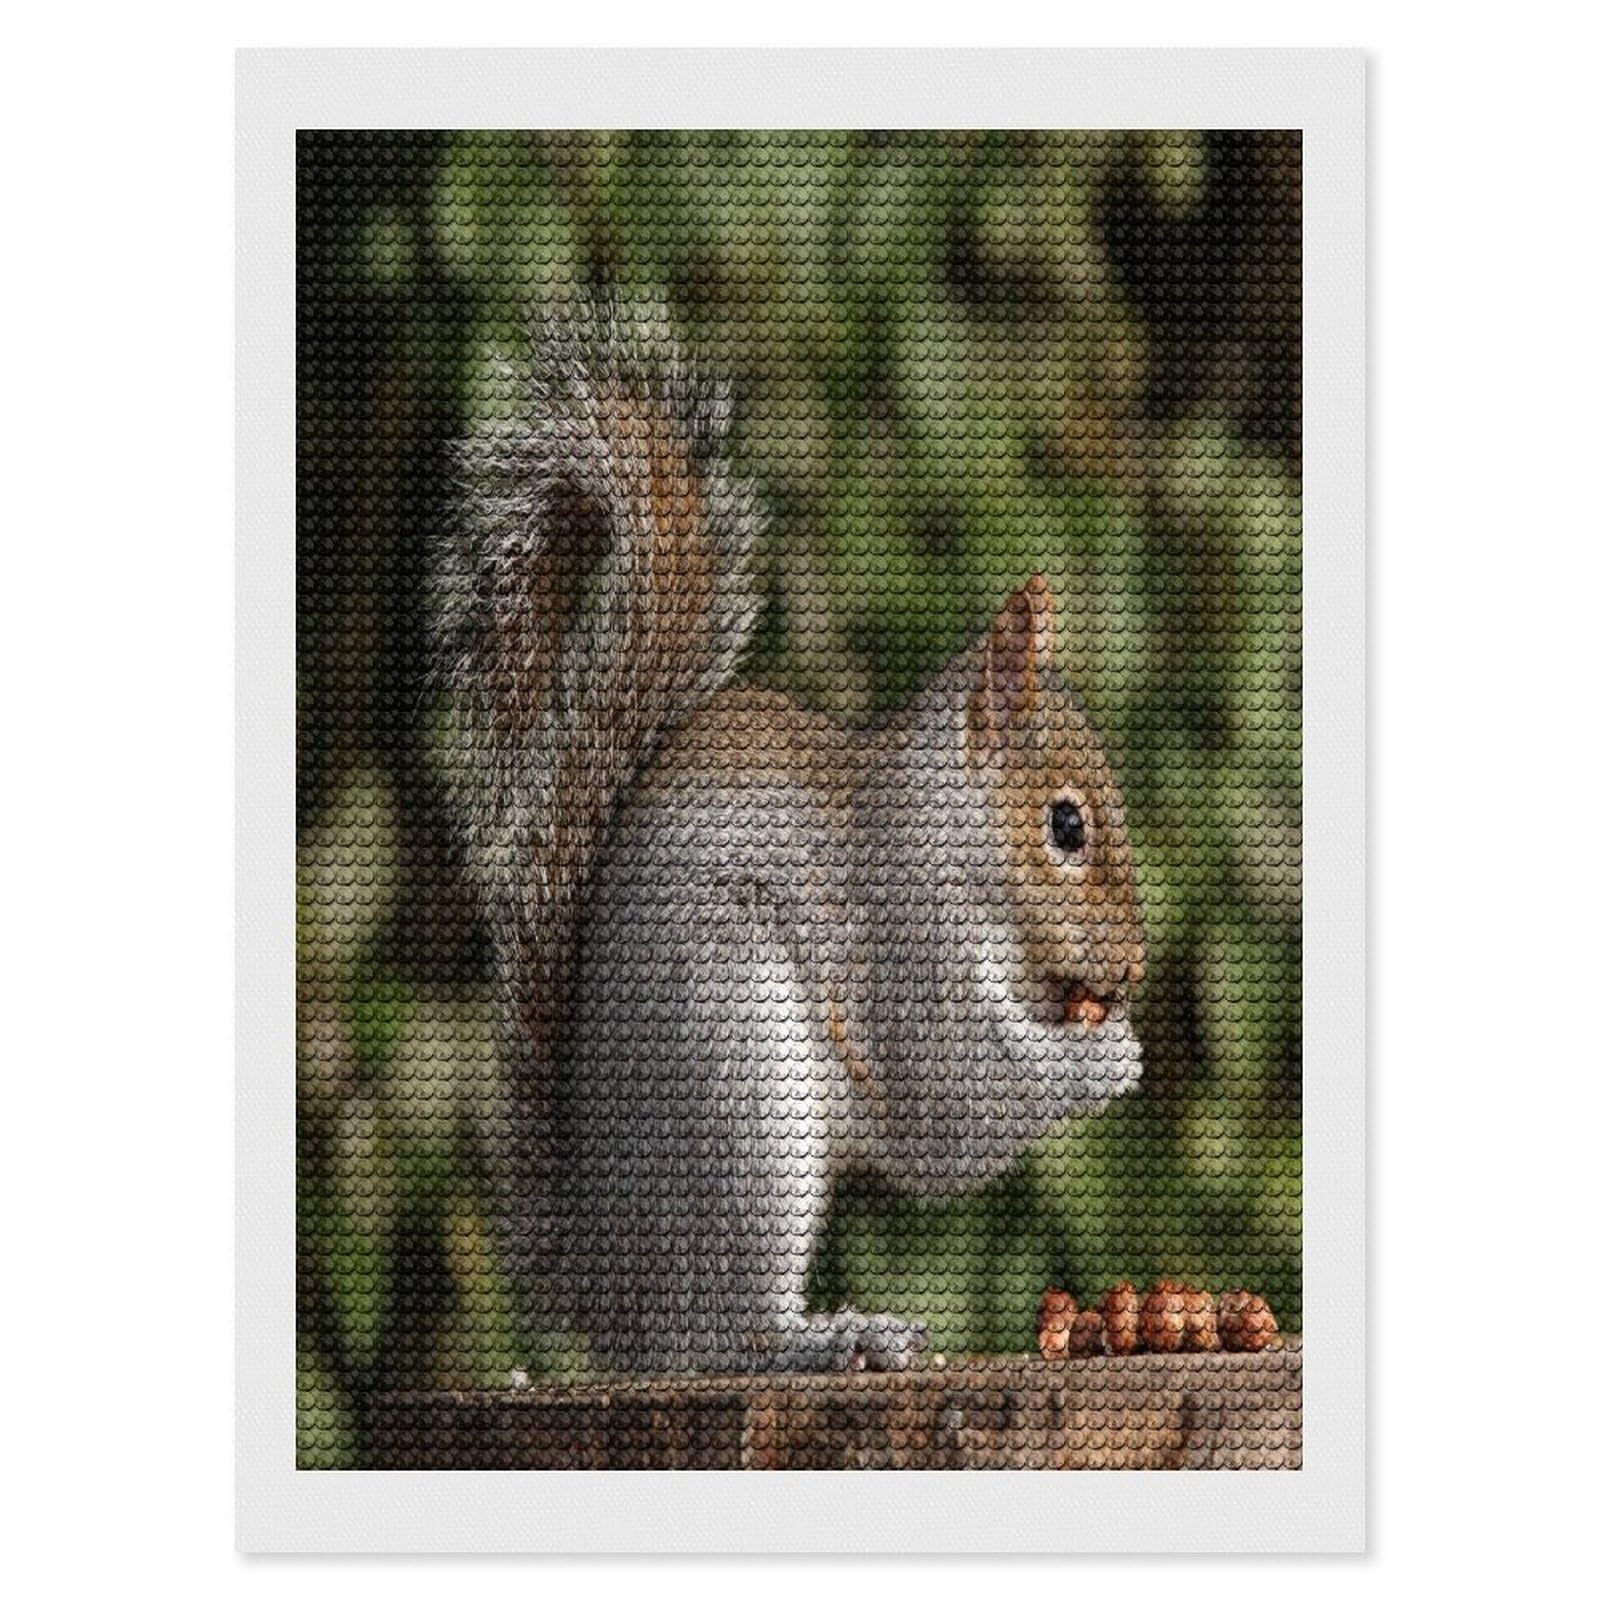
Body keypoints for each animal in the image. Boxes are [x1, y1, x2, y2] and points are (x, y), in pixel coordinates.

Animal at [432, 304, 1147, 1373]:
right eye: (1066, 825)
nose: (1135, 965)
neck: (950, 842)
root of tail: (603, 1284)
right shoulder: (903, 949)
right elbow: (954, 1100)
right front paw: (1110, 1060)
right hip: (744, 1080)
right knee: (727, 1335)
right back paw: (832, 1337)